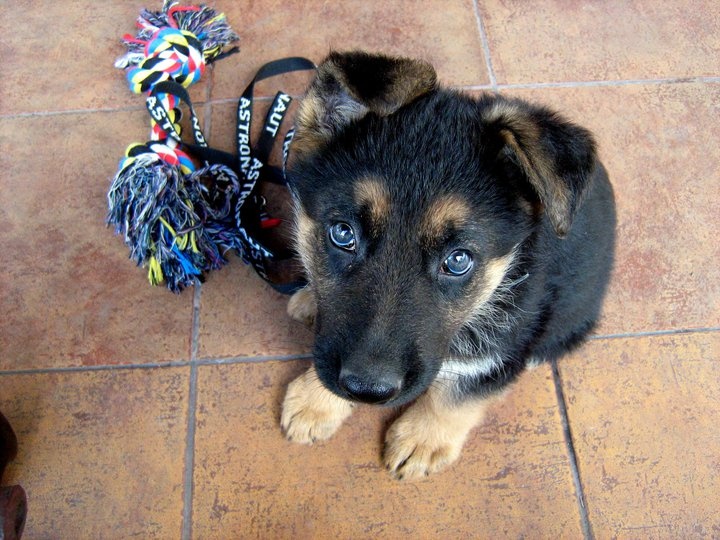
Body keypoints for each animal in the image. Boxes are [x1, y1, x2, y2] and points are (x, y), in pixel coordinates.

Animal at [279, 51, 615, 480]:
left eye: (457, 260)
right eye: (342, 233)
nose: (367, 389)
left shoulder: (504, 341)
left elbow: (458, 394)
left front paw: (424, 439)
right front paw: (317, 400)